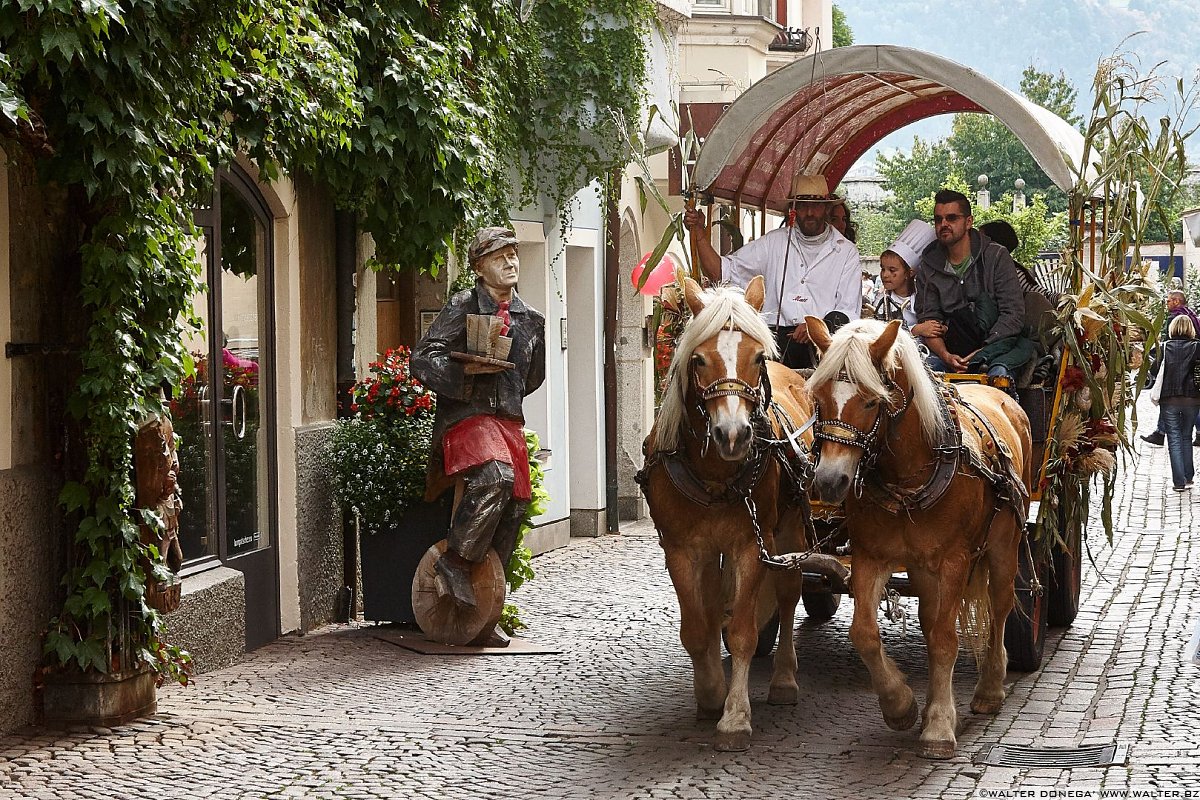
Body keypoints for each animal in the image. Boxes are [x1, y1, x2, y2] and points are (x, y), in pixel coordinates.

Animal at [643, 273, 840, 753]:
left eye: (757, 357)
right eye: (698, 359)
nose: (732, 435)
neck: (715, 476)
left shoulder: (752, 545)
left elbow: (744, 631)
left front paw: (734, 716)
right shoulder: (681, 549)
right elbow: (699, 626)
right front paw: (710, 692)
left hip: (790, 530)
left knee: (788, 595)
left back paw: (785, 679)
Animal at [801, 314, 1036, 758]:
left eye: (872, 402)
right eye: (818, 398)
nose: (828, 481)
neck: (908, 476)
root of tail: (1001, 395)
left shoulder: (955, 560)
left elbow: (946, 639)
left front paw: (940, 727)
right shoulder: (871, 556)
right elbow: (865, 633)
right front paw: (902, 706)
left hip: (1005, 542)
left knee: (1001, 606)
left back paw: (989, 689)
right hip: (924, 567)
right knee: (929, 620)